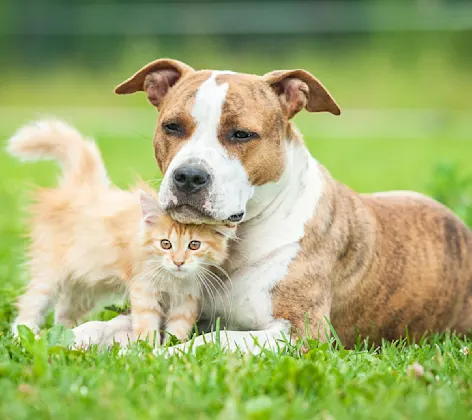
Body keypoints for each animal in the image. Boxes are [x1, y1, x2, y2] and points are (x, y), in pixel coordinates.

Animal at [7, 120, 234, 346]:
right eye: (165, 244)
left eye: (194, 245)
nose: (178, 262)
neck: (172, 279)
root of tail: (82, 188)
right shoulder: (143, 288)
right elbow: (146, 324)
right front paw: (148, 348)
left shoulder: (187, 297)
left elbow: (178, 328)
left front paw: (172, 347)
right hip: (50, 272)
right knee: (31, 303)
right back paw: (23, 335)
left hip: (85, 284)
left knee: (64, 311)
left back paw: (66, 334)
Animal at [70, 59, 472, 352]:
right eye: (172, 127)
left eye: (241, 134)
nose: (189, 176)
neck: (235, 242)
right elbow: (106, 324)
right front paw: (73, 340)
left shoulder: (300, 332)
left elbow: (213, 340)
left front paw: (161, 357)